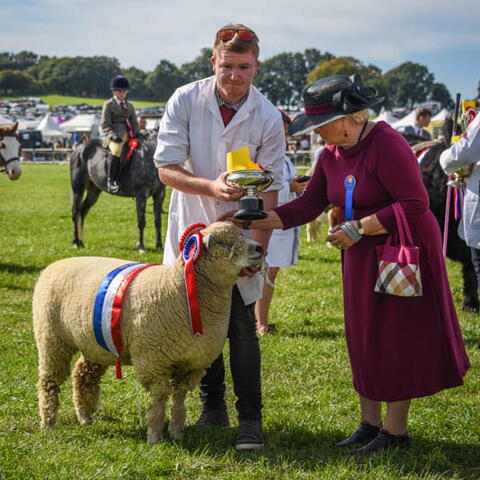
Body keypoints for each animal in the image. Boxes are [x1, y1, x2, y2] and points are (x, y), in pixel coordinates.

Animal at [32, 221, 266, 442]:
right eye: (222, 242)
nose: (260, 248)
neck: (180, 290)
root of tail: (54, 265)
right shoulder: (153, 362)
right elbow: (159, 399)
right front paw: (155, 435)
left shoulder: (192, 363)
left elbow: (179, 398)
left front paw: (177, 432)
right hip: (51, 338)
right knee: (48, 382)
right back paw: (48, 423)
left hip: (95, 343)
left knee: (83, 375)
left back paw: (84, 416)